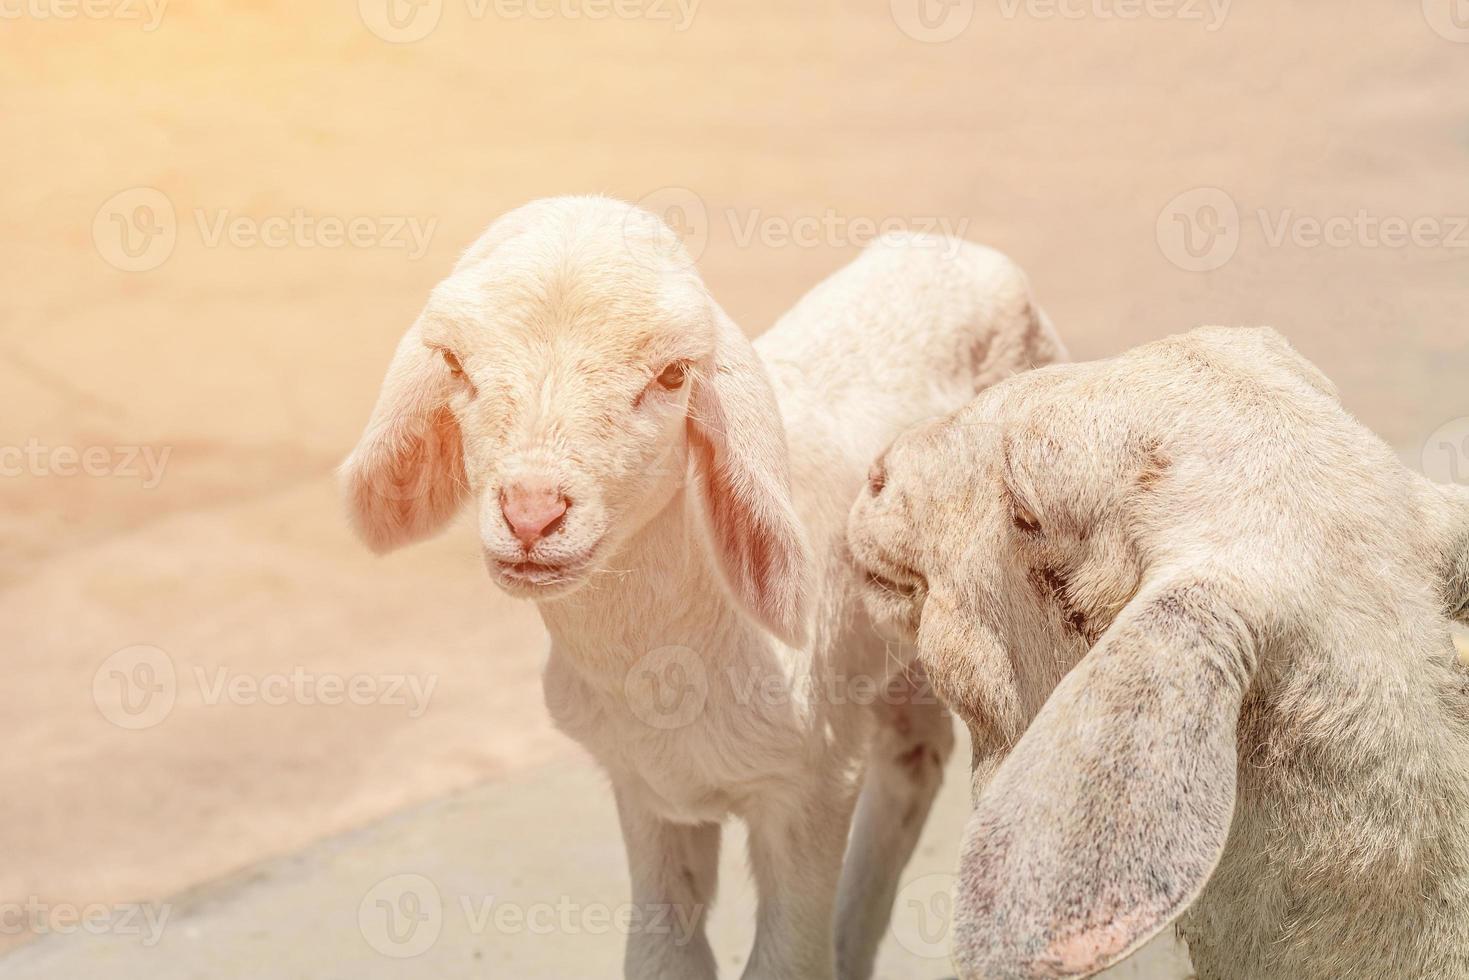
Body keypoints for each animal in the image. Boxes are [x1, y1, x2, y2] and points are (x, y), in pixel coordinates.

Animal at [336, 195, 1069, 975]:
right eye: (452, 362)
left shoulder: (807, 782)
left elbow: (786, 961)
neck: (664, 666)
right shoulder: (646, 788)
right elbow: (665, 956)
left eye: (672, 375)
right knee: (912, 753)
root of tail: (961, 252)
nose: (531, 512)